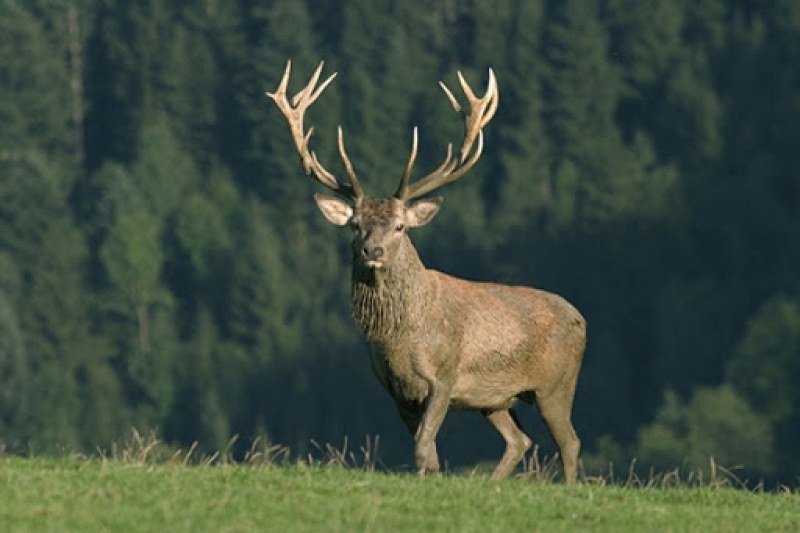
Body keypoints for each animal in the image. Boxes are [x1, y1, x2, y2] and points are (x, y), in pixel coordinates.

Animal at [266, 59, 584, 482]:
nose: (372, 250)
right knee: (519, 440)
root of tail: (582, 318)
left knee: (569, 442)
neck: (400, 338)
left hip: (556, 385)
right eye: (355, 225)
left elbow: (422, 447)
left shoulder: (444, 378)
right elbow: (426, 453)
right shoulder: (397, 391)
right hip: (496, 399)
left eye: (400, 226)